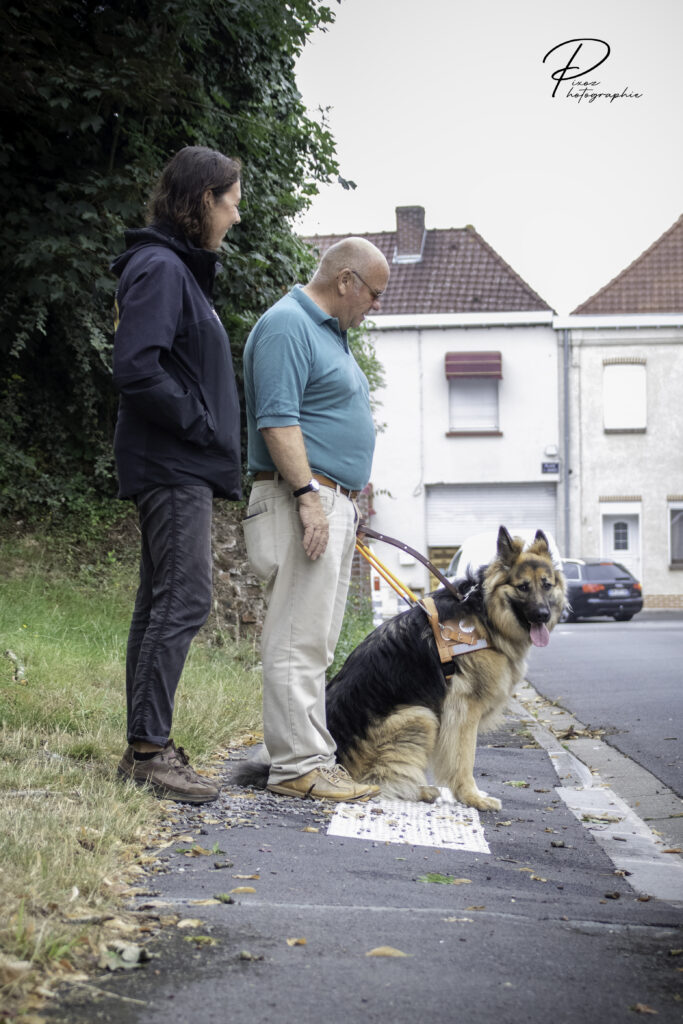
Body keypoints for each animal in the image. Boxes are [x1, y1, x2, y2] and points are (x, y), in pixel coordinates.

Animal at [232, 528, 565, 806]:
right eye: (523, 587)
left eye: (546, 585)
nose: (543, 615)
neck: (483, 613)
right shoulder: (463, 711)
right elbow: (463, 759)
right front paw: (472, 798)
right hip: (421, 716)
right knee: (380, 780)